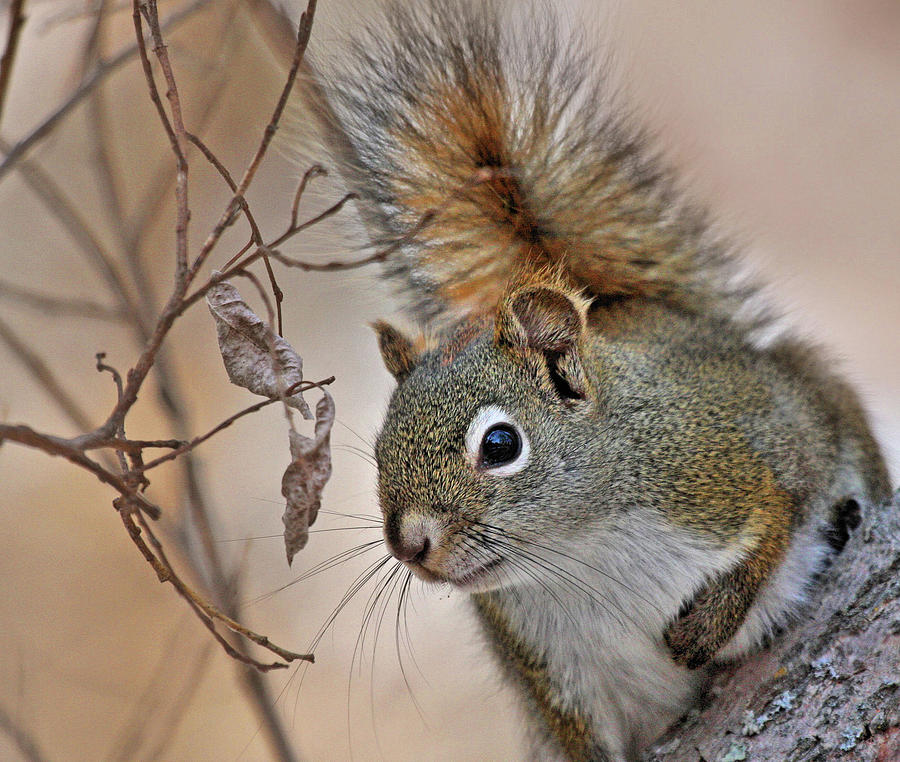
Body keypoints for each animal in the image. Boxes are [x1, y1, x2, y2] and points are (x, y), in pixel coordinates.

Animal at [300, 2, 884, 756]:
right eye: (377, 451)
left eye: (500, 446)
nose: (411, 546)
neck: (578, 549)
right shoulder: (555, 673)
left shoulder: (731, 453)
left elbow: (779, 513)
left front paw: (705, 627)